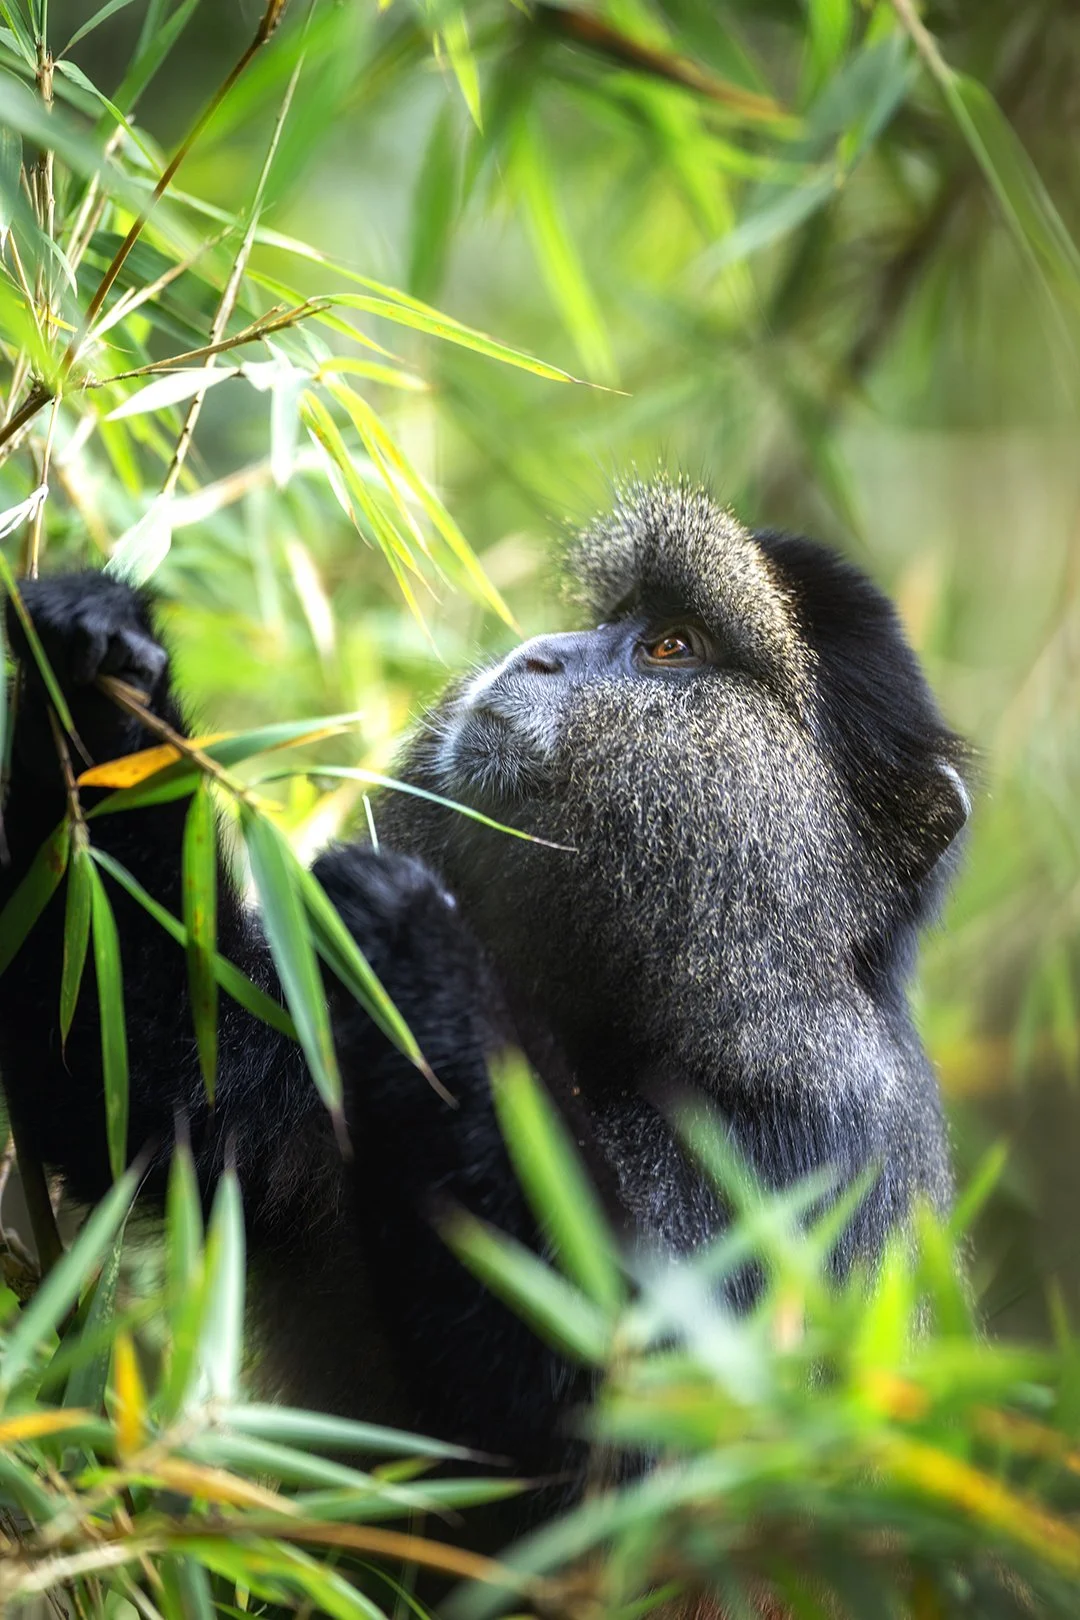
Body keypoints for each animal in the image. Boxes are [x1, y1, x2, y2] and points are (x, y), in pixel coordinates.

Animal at [0, 478, 967, 1482]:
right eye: (617, 618)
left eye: (672, 647)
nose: (541, 653)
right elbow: (159, 1088)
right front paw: (97, 650)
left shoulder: (808, 1143)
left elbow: (622, 1400)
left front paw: (426, 947)